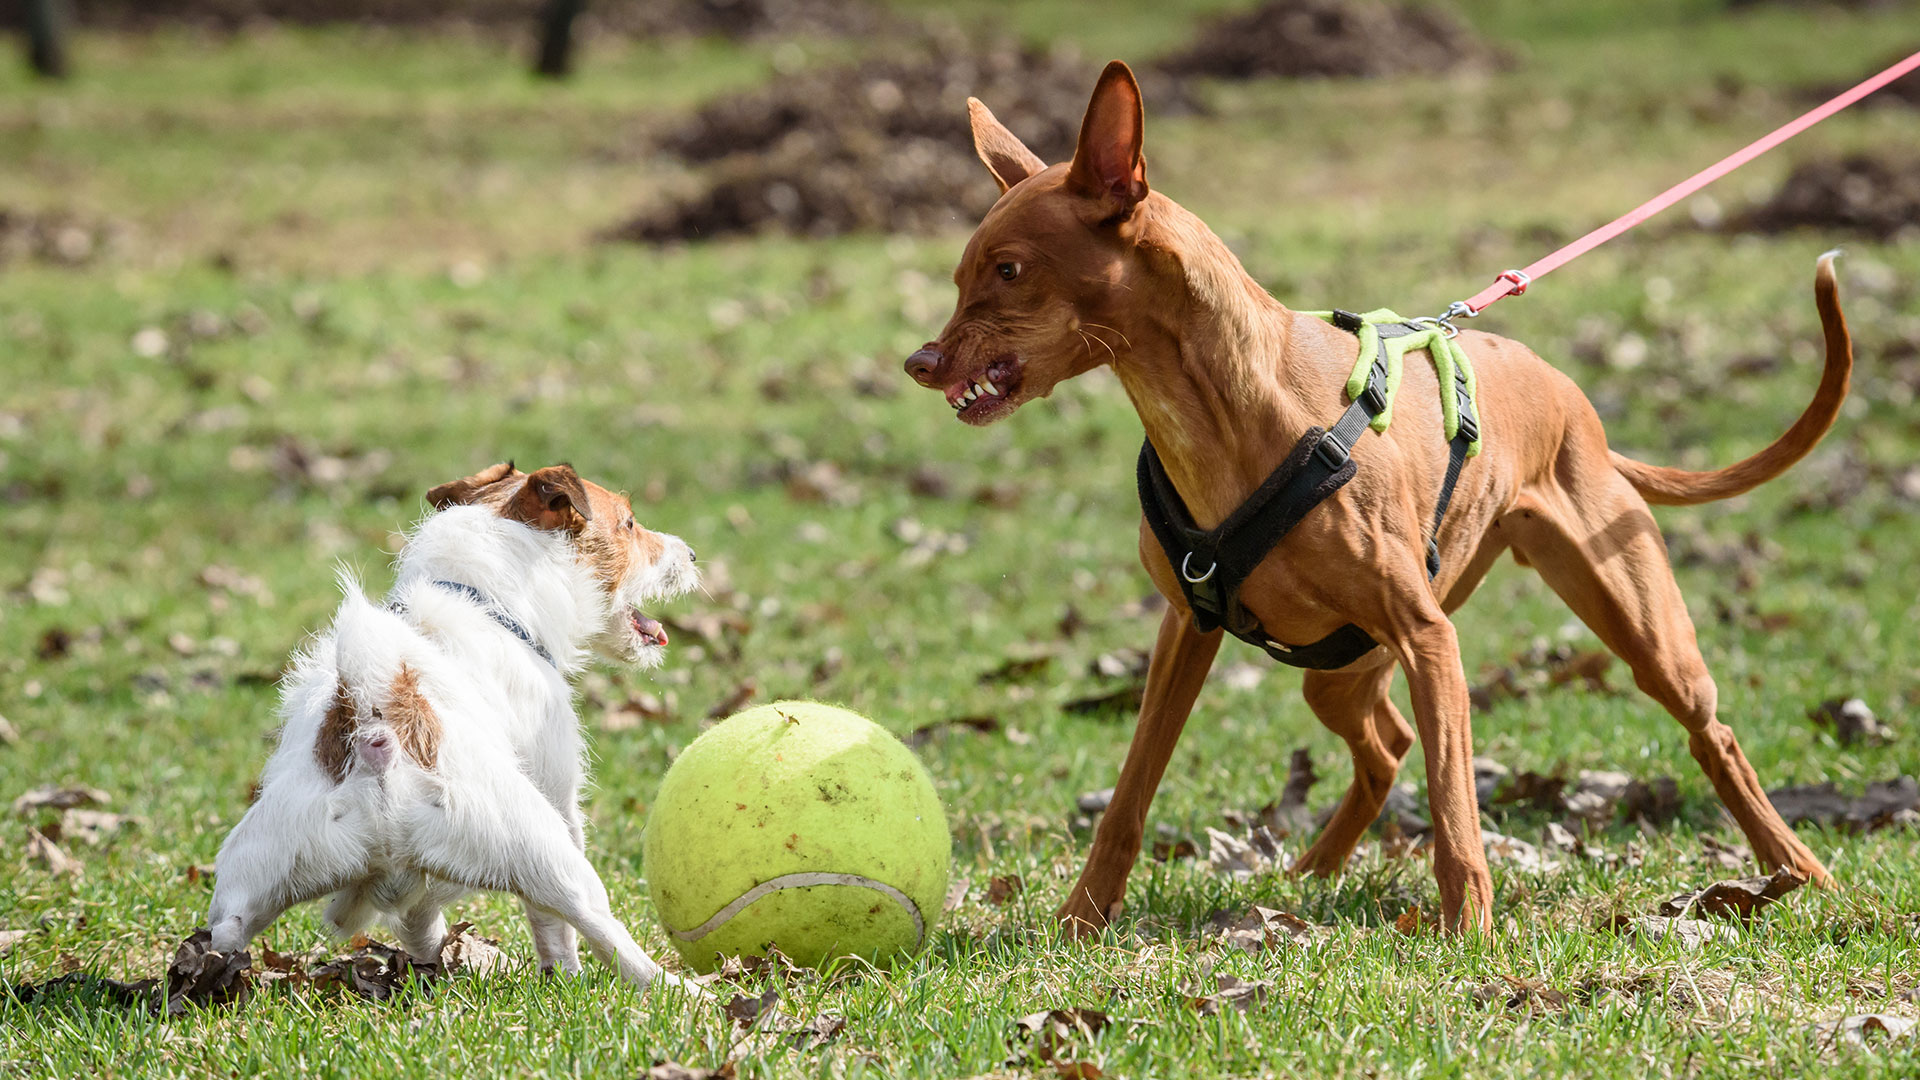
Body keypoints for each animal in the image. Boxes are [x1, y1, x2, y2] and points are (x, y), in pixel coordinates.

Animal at [208, 457, 698, 991]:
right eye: (628, 524)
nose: (693, 553)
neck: (484, 599)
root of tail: (379, 737)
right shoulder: (559, 789)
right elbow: (553, 929)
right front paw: (563, 977)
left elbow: (420, 919)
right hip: (545, 853)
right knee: (605, 934)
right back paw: (685, 991)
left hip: (254, 874)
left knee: (228, 933)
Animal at [906, 61, 1850, 933]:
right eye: (959, 276)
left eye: (1009, 269)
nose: (920, 362)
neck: (1227, 413)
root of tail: (1576, 403)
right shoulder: (1186, 628)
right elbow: (1130, 798)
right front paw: (1080, 920)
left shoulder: (1431, 639)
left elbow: (1455, 811)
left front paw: (1469, 936)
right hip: (1339, 670)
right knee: (1387, 747)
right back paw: (1312, 872)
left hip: (1637, 628)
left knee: (1712, 735)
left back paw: (1799, 871)